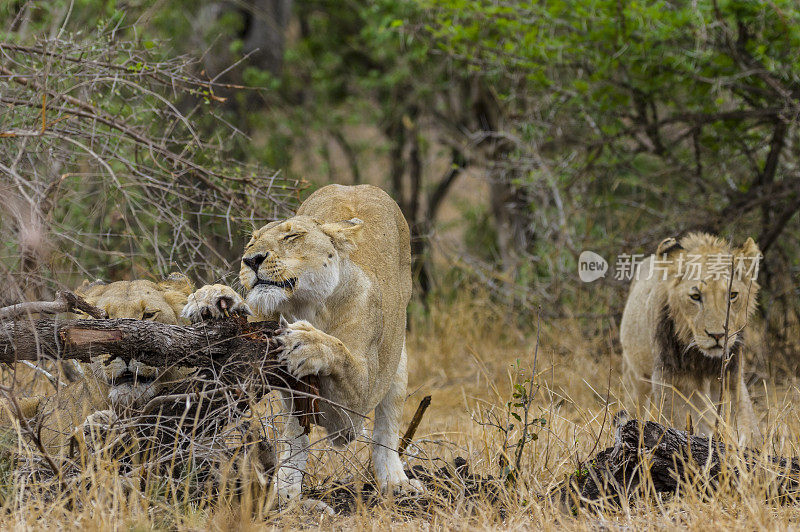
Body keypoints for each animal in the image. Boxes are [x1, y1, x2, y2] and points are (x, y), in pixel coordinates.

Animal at [180, 182, 418, 498]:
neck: (308, 306)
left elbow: (339, 353)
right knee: (296, 432)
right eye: (251, 242)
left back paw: (395, 481)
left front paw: (308, 344)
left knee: (387, 427)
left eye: (292, 236)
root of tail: (356, 185)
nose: (251, 260)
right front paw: (212, 297)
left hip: (398, 358)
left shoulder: (352, 415)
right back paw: (286, 489)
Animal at [620, 233, 764, 440]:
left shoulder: (732, 374)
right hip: (635, 377)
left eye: (733, 295)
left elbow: (744, 419)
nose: (718, 335)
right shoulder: (668, 379)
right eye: (695, 297)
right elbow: (678, 421)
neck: (701, 359)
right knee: (636, 405)